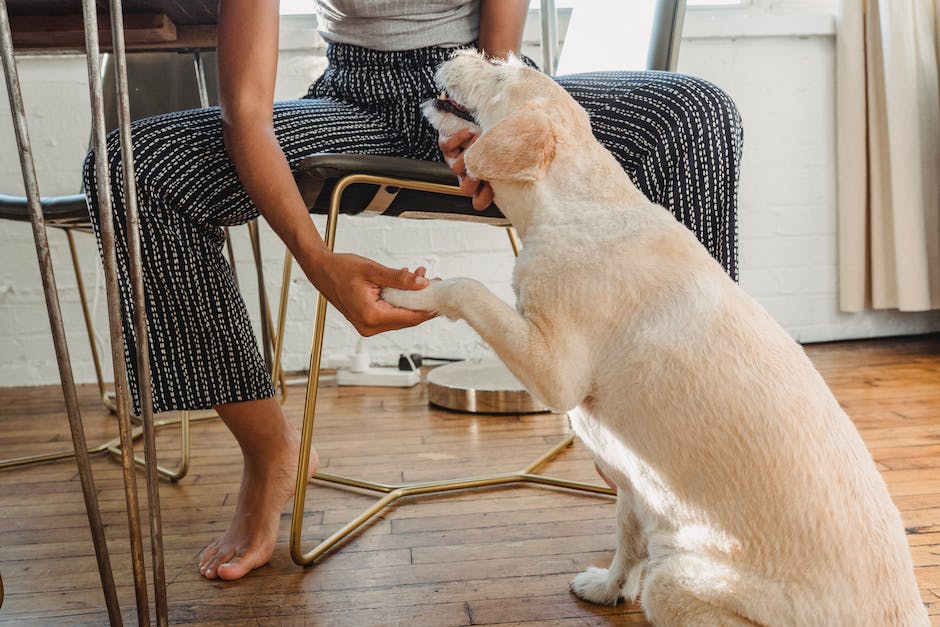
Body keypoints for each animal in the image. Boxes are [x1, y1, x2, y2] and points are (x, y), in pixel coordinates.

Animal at [382, 52, 924, 627]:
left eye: (502, 74)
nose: (454, 53)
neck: (574, 204)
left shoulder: (554, 373)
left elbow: (466, 288)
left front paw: (408, 293)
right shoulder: (632, 482)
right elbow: (626, 540)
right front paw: (607, 588)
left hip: (672, 584)